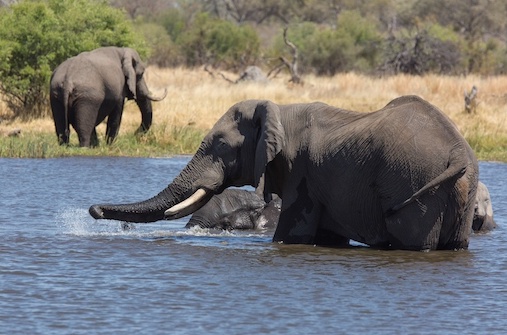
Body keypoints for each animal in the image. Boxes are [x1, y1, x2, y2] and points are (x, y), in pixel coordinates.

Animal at [89, 96, 478, 251]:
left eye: (220, 145)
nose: (93, 209)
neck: (280, 110)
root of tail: (459, 151)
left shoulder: (302, 174)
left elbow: (291, 236)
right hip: (460, 189)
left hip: (413, 183)